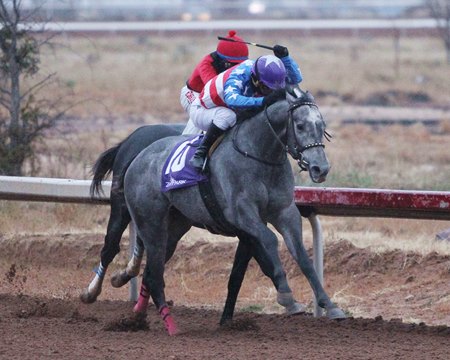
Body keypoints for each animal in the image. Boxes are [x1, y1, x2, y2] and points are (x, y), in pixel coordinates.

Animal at [121, 90, 346, 334]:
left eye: (322, 125)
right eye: (301, 125)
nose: (320, 169)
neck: (259, 155)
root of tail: (137, 159)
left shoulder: (286, 212)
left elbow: (302, 256)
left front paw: (330, 306)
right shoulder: (242, 213)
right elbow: (270, 240)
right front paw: (286, 295)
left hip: (175, 226)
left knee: (151, 271)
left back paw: (139, 316)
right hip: (150, 224)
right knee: (155, 275)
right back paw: (171, 326)